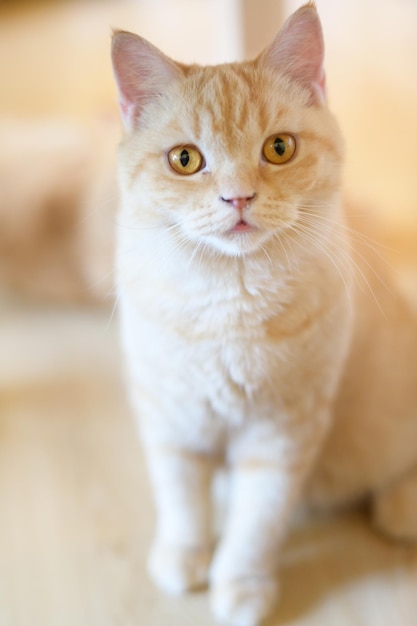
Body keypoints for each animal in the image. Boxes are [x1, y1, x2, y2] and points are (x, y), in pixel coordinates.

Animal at [110, 4, 416, 624]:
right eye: (185, 160)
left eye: (278, 148)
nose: (238, 197)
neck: (227, 301)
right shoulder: (170, 416)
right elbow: (180, 497)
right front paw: (184, 555)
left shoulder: (280, 434)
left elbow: (256, 522)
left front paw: (240, 584)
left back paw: (402, 507)